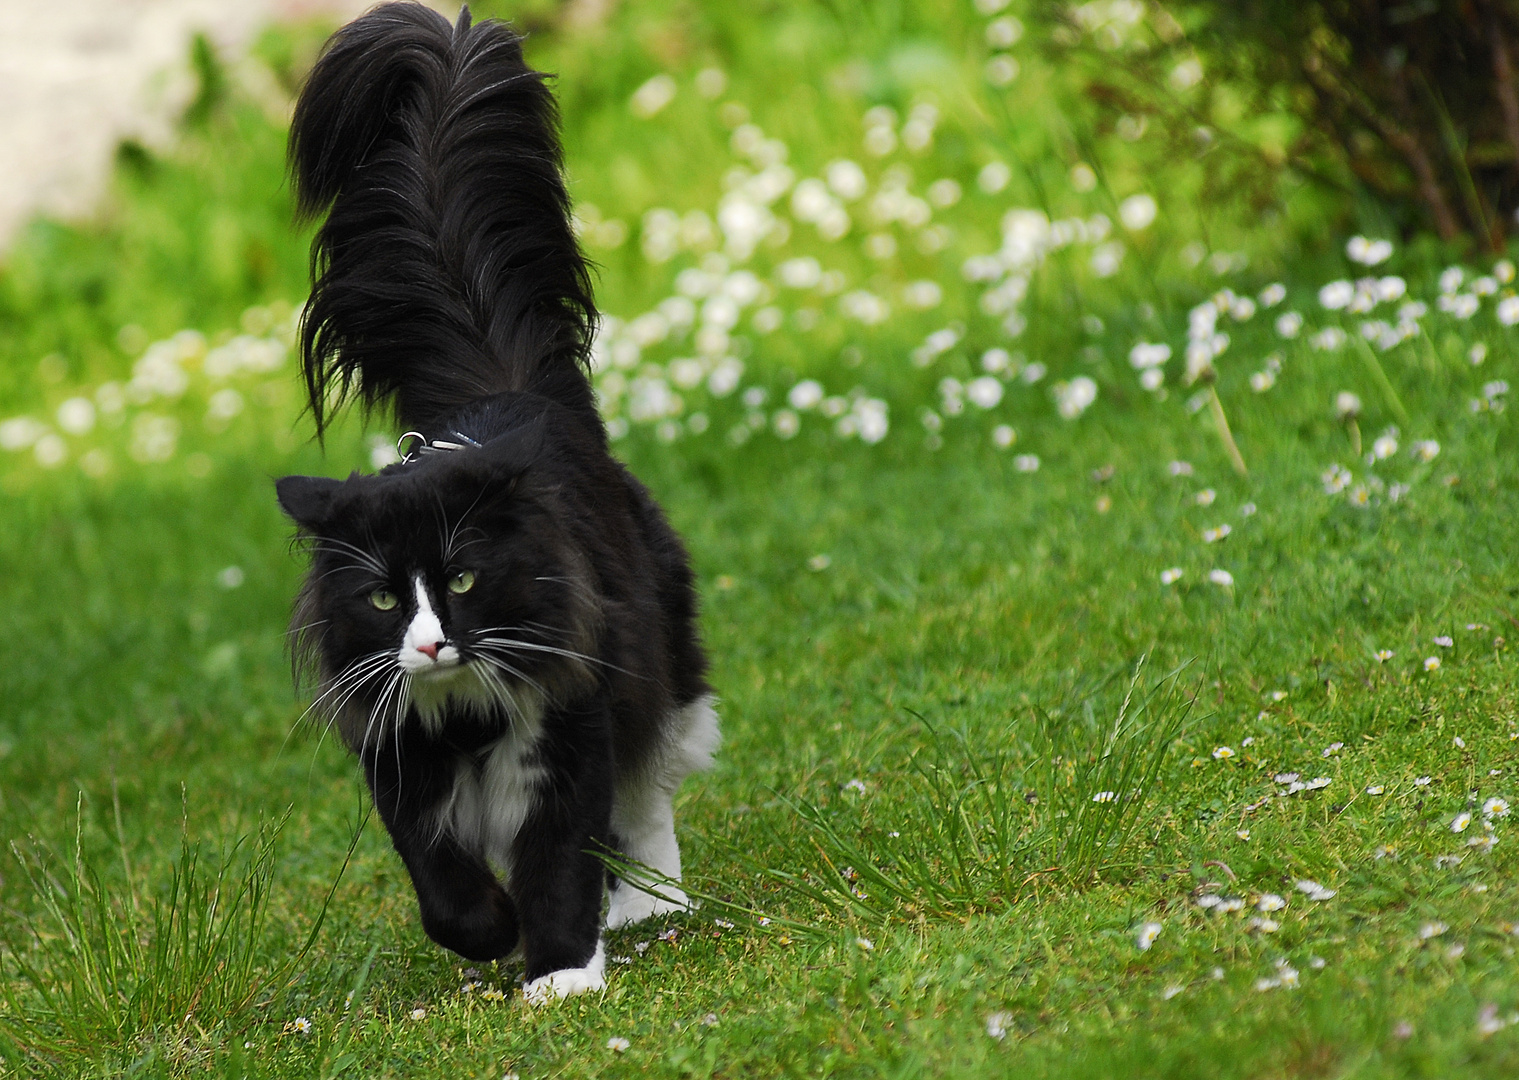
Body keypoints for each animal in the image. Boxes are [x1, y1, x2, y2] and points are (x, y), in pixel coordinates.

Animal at [274, 0, 716, 1002]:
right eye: (383, 598)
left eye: (466, 581)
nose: (434, 643)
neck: (465, 712)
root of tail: (512, 393)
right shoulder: (395, 755)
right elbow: (444, 888)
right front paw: (495, 933)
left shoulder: (568, 734)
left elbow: (560, 860)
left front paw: (561, 974)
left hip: (661, 659)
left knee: (651, 792)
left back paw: (652, 907)